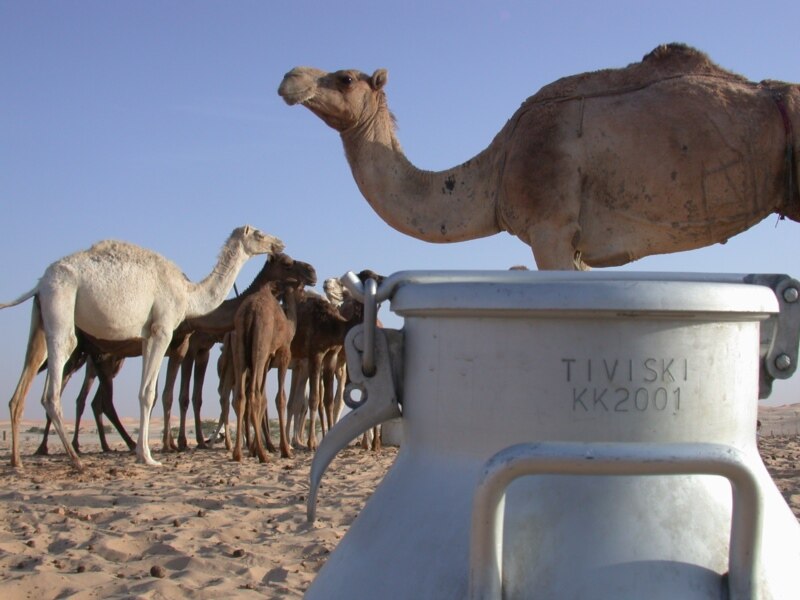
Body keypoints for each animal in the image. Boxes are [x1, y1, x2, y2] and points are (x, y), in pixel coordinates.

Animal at [1, 225, 283, 470]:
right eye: (259, 234)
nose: (279, 243)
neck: (188, 293)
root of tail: (40, 283)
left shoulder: (148, 336)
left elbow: (149, 393)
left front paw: (143, 451)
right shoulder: (163, 329)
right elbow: (149, 393)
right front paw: (148, 456)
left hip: (40, 315)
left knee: (28, 374)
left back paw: (18, 461)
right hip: (61, 301)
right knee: (55, 384)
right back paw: (76, 460)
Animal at [231, 258, 317, 462]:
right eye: (301, 288)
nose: (312, 273)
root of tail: (250, 313)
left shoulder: (269, 362)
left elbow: (265, 398)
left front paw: (256, 448)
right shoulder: (283, 354)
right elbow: (281, 398)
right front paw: (286, 449)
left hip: (240, 351)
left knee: (241, 396)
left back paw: (239, 453)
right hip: (260, 347)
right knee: (253, 393)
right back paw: (263, 454)